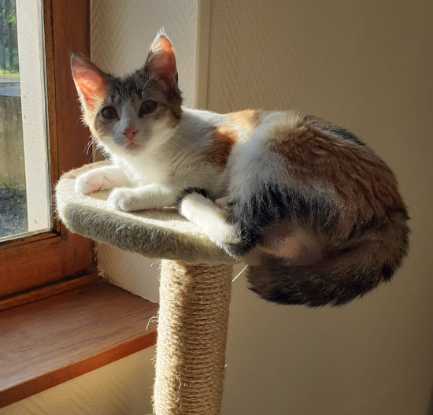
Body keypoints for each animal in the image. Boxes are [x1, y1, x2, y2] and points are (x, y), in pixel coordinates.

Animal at [71, 29, 409, 307]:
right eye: (109, 113)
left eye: (148, 107)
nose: (128, 132)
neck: (151, 155)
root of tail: (393, 207)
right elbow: (127, 172)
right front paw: (90, 178)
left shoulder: (219, 153)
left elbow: (174, 182)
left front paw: (131, 195)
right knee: (288, 244)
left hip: (276, 139)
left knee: (240, 234)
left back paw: (197, 202)